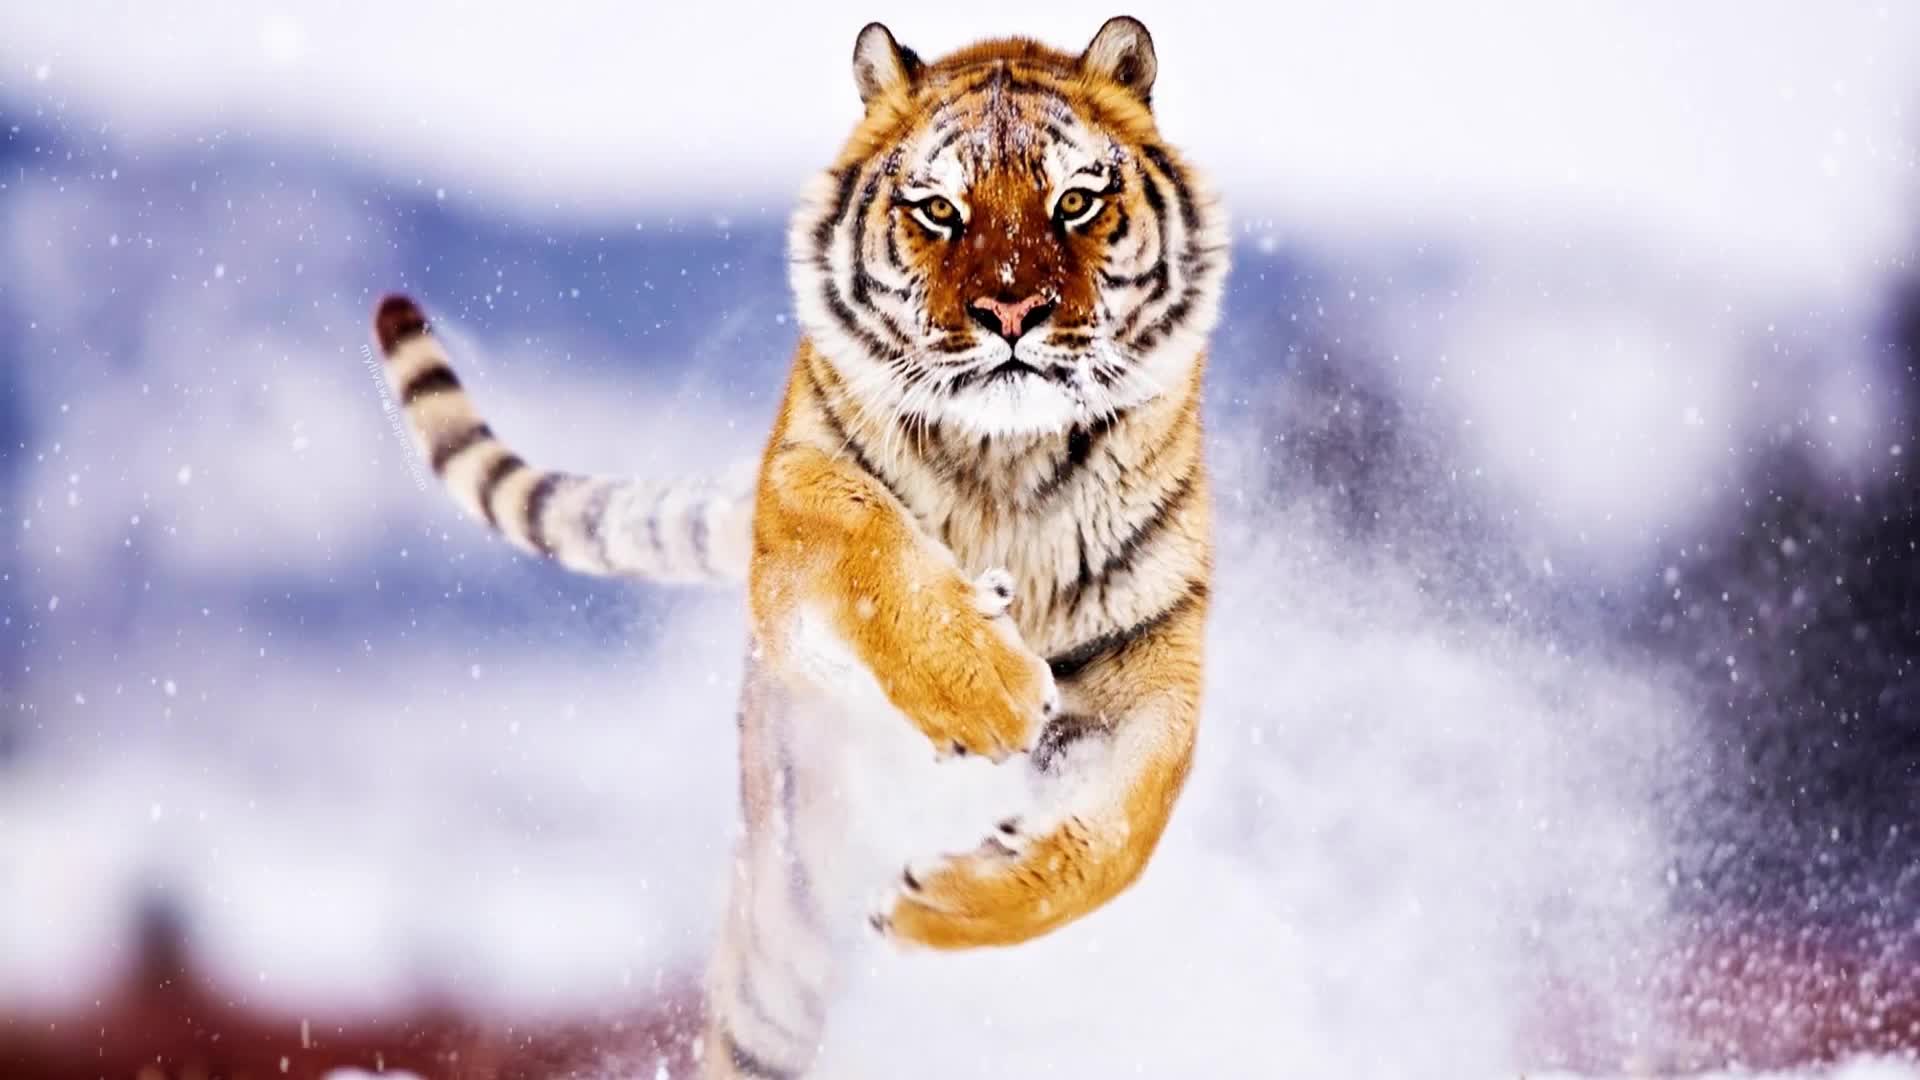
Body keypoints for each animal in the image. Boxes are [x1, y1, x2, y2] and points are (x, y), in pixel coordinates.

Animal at [368, 15, 1226, 1077]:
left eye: (1076, 200)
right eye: (939, 210)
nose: (1012, 312)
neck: (1006, 461)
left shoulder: (1152, 655)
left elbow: (1122, 834)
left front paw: (943, 903)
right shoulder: (794, 521)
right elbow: (864, 534)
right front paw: (986, 690)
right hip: (778, 949)